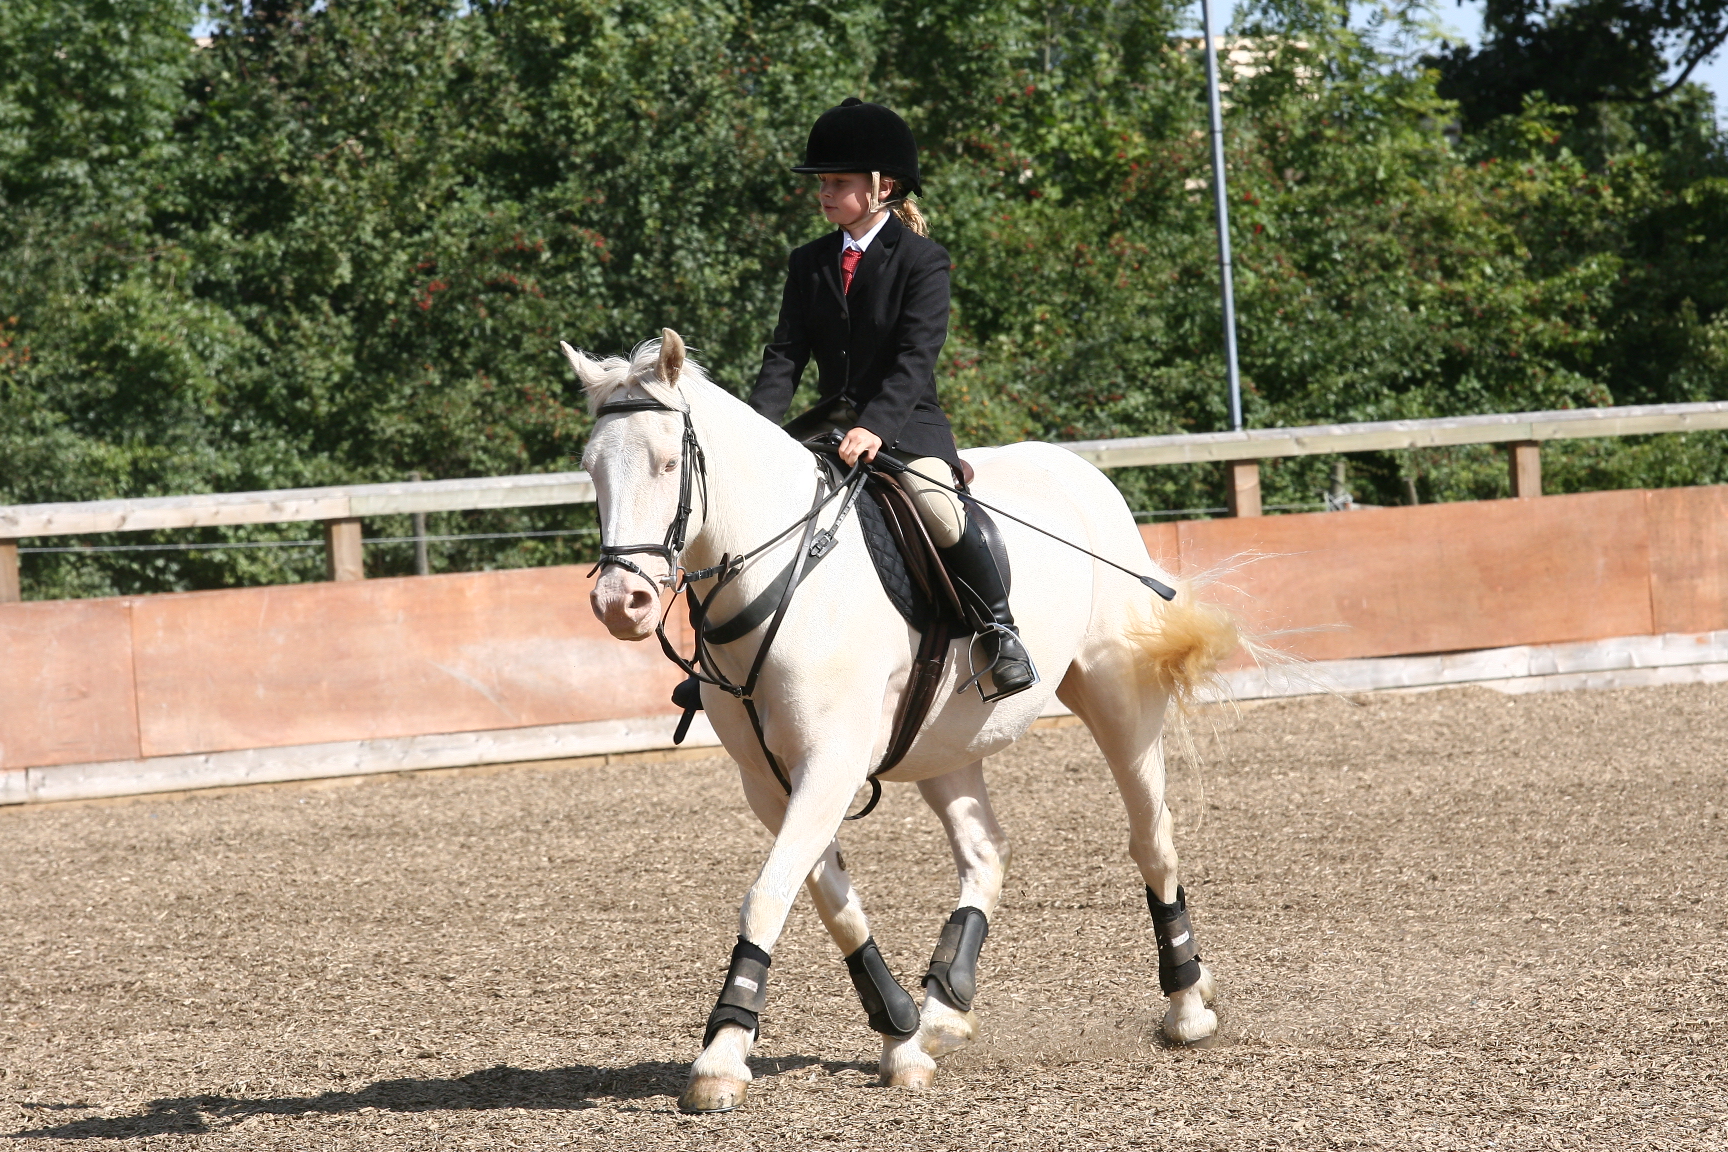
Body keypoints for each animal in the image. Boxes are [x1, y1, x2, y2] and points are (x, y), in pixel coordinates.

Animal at [573, 328, 1237, 1112]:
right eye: (591, 468)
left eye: (669, 462)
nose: (621, 605)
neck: (784, 576)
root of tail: (1082, 472)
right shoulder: (772, 782)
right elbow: (833, 905)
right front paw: (900, 1032)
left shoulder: (829, 764)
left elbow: (767, 896)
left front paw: (721, 1054)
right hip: (946, 742)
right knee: (986, 853)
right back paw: (945, 1007)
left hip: (1117, 697)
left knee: (1151, 839)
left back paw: (1187, 1005)